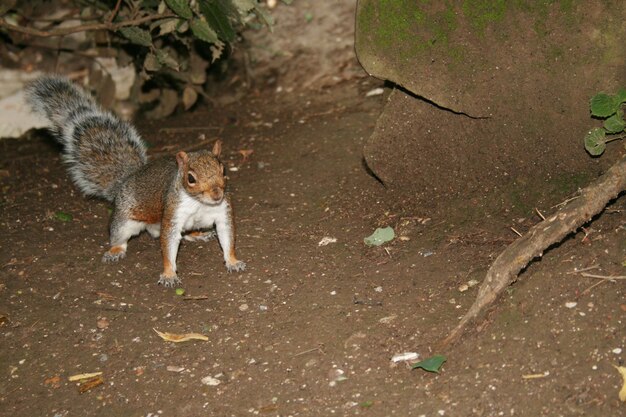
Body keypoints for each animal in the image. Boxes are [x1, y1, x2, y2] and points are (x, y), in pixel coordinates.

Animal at [26, 75, 246, 286]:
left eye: (224, 170)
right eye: (190, 178)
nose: (217, 194)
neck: (200, 203)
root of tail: (128, 178)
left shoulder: (223, 212)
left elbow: (227, 237)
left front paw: (233, 261)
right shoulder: (173, 214)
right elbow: (169, 244)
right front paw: (169, 274)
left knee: (185, 232)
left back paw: (197, 235)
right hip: (124, 220)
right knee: (119, 237)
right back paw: (115, 251)